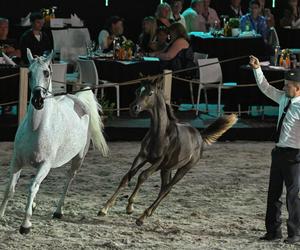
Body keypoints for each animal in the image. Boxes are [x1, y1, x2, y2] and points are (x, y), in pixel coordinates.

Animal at [0, 49, 109, 234]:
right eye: (29, 73)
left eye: (47, 72)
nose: (37, 100)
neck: (37, 128)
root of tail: (78, 99)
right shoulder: (17, 161)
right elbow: (9, 189)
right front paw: (1, 216)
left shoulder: (45, 164)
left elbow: (32, 187)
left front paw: (25, 225)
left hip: (78, 159)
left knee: (67, 181)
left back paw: (58, 211)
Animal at [98, 77, 237, 225]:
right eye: (137, 91)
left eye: (150, 93)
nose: (133, 108)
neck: (161, 134)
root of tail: (200, 136)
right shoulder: (142, 156)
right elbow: (127, 177)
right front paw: (104, 209)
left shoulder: (159, 161)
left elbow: (143, 176)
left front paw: (130, 206)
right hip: (167, 169)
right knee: (164, 189)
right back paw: (150, 212)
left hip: (183, 168)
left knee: (167, 188)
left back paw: (143, 217)